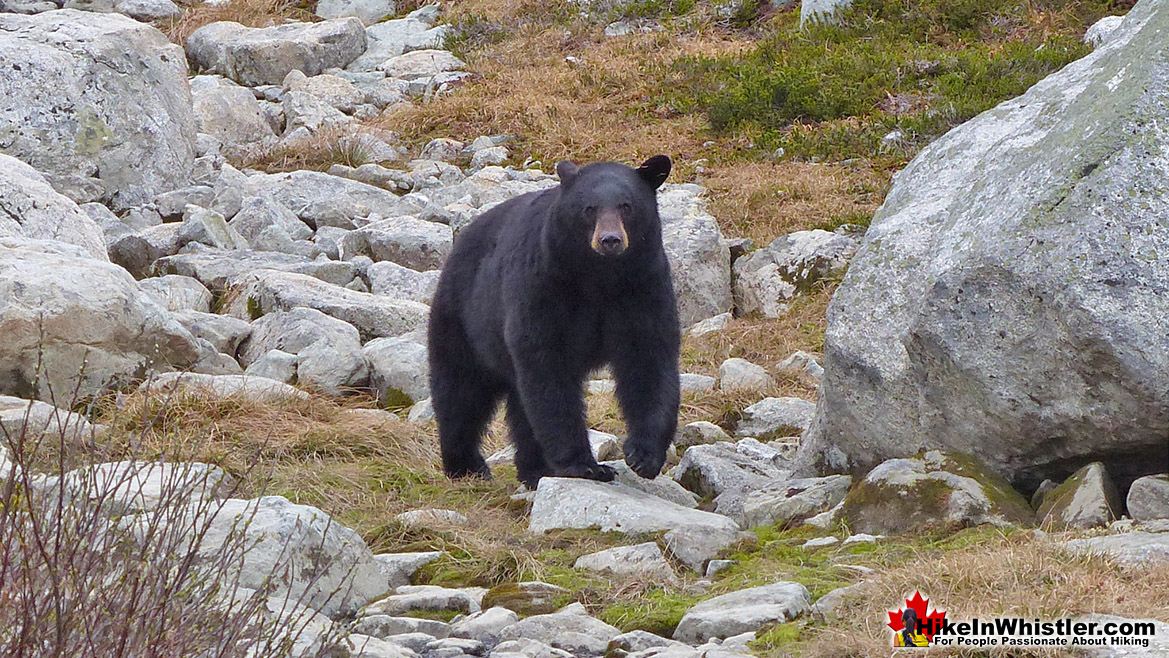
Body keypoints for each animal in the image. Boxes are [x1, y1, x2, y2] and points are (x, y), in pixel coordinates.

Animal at [427, 154, 682, 488]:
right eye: (590, 209)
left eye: (626, 206)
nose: (610, 240)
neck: (601, 278)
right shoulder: (544, 284)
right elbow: (548, 367)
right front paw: (585, 466)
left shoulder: (644, 287)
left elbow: (649, 359)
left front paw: (644, 455)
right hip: (463, 318)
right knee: (461, 390)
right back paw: (466, 465)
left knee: (518, 405)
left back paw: (533, 469)